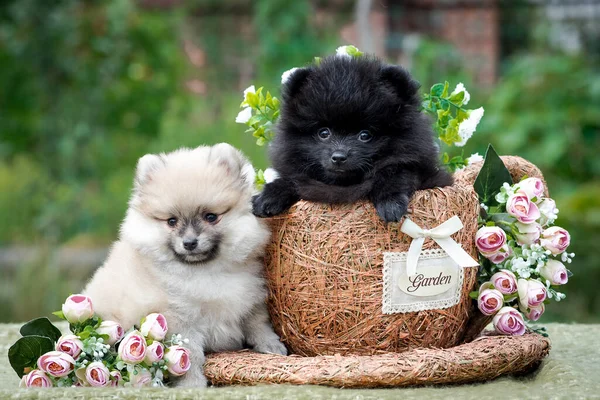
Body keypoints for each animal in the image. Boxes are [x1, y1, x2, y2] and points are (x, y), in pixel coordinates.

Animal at [83, 142, 288, 386]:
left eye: (211, 217)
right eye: (172, 221)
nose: (190, 243)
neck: (206, 271)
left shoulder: (249, 298)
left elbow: (258, 323)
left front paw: (272, 345)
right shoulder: (180, 321)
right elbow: (190, 357)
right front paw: (192, 384)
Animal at [251, 54, 452, 222]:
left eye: (365, 135)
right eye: (324, 133)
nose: (339, 157)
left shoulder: (419, 168)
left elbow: (396, 174)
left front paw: (390, 203)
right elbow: (292, 181)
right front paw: (268, 196)